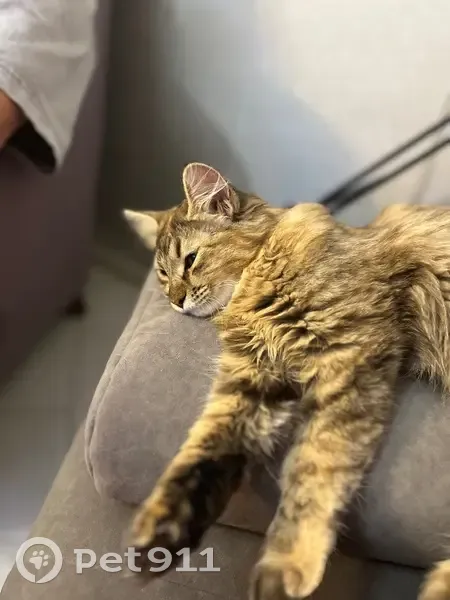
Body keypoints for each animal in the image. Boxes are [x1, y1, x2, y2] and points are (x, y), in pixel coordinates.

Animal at [124, 162, 450, 600]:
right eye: (162, 275)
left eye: (191, 260)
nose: (176, 302)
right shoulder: (251, 380)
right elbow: (201, 452)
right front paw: (161, 530)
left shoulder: (348, 353)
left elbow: (315, 466)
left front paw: (286, 565)